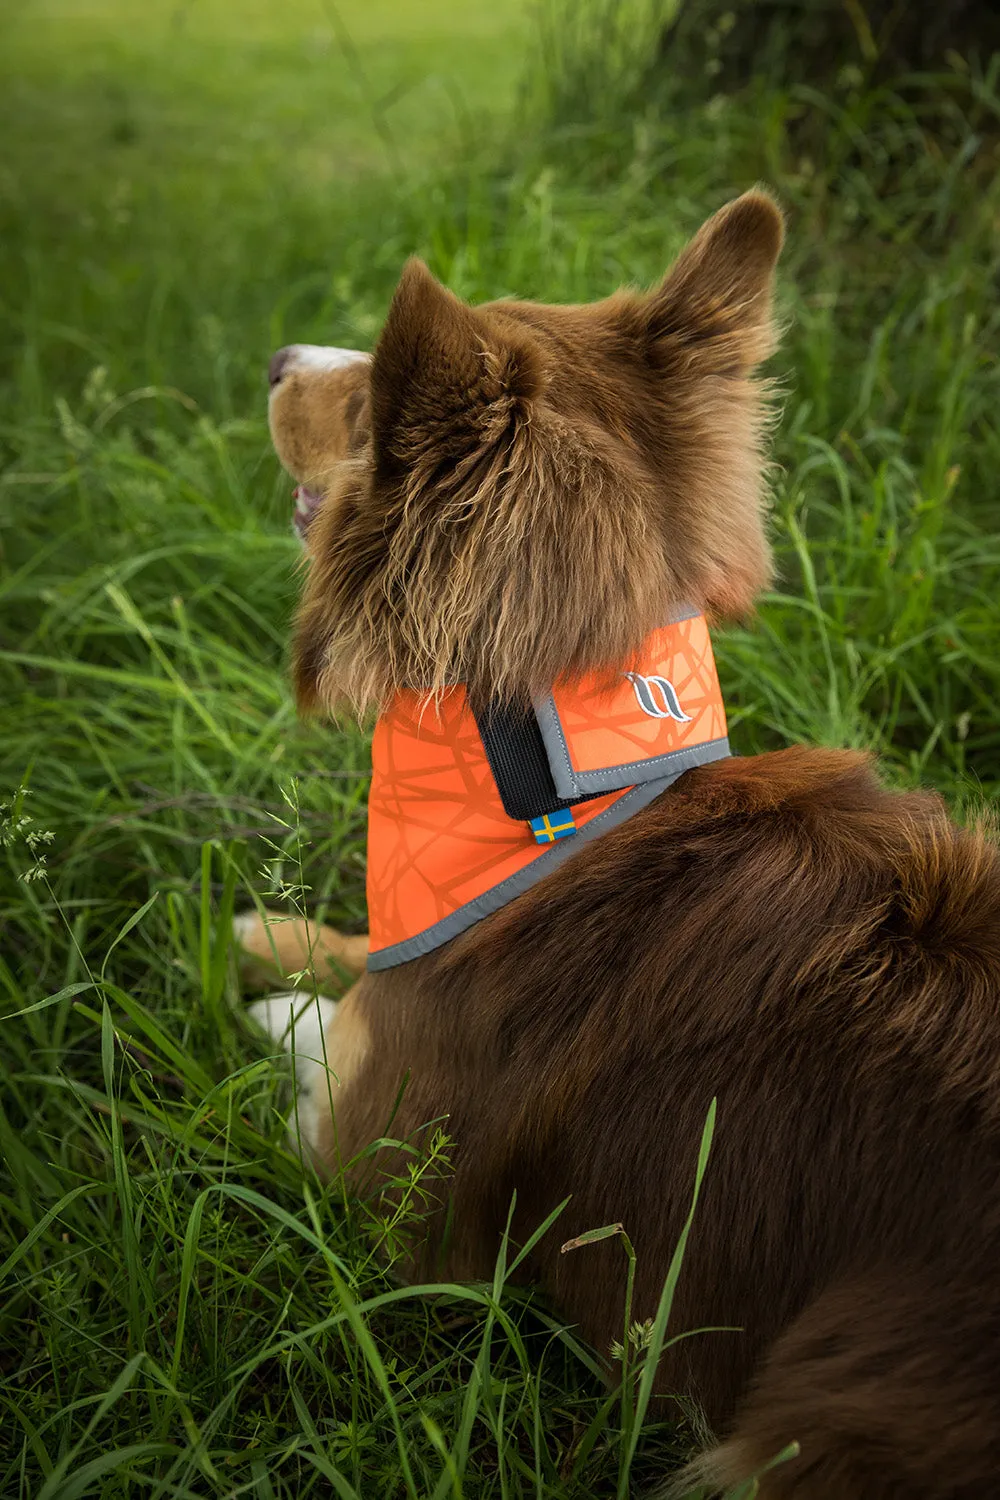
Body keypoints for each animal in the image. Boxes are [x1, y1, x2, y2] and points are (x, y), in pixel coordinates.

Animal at [245, 190, 1000, 1500]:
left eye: (370, 396)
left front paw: (272, 1005)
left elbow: (328, 1044)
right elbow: (364, 946)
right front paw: (262, 935)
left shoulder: (375, 1183)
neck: (558, 799)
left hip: (805, 1436)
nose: (281, 354)